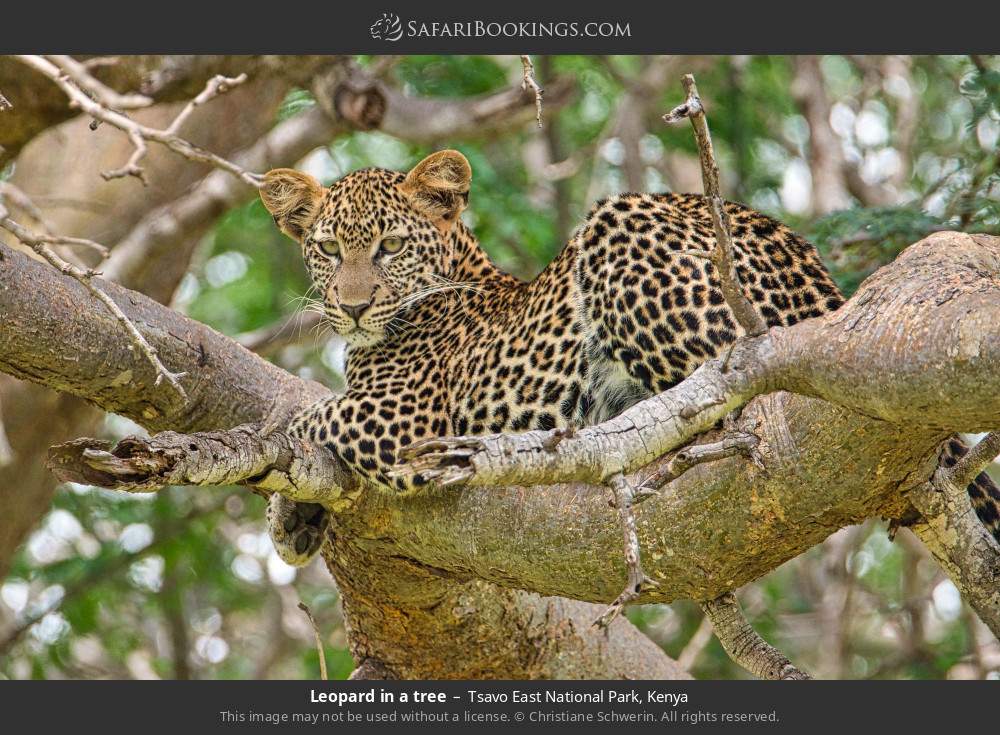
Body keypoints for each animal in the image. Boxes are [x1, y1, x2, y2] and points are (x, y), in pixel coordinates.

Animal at [258, 147, 1000, 568]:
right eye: (328, 249)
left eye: (389, 246)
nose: (353, 306)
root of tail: (821, 278)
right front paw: (296, 519)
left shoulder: (405, 422)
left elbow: (305, 418)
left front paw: (279, 486)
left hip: (618, 230)